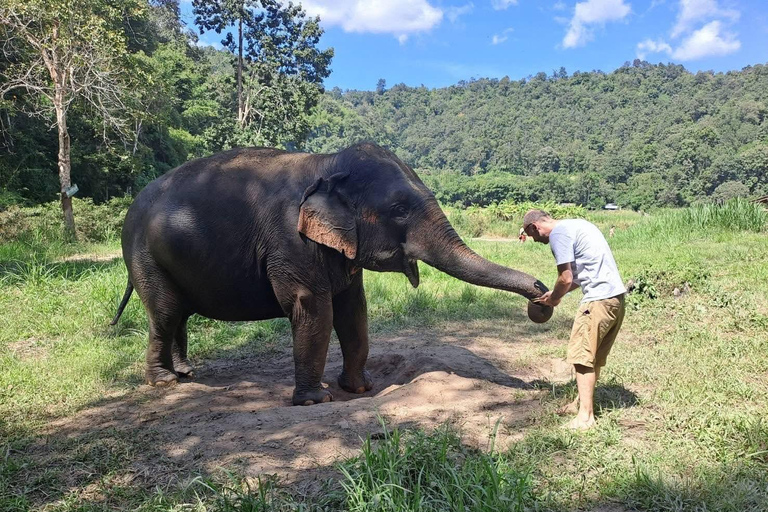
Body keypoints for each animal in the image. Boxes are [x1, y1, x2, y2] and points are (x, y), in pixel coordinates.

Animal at [111, 142, 552, 405]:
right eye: (399, 210)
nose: (542, 296)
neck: (326, 163)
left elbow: (354, 309)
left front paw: (360, 388)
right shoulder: (289, 240)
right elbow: (313, 308)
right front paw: (314, 400)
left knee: (178, 314)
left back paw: (186, 373)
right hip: (143, 255)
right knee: (166, 313)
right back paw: (164, 383)